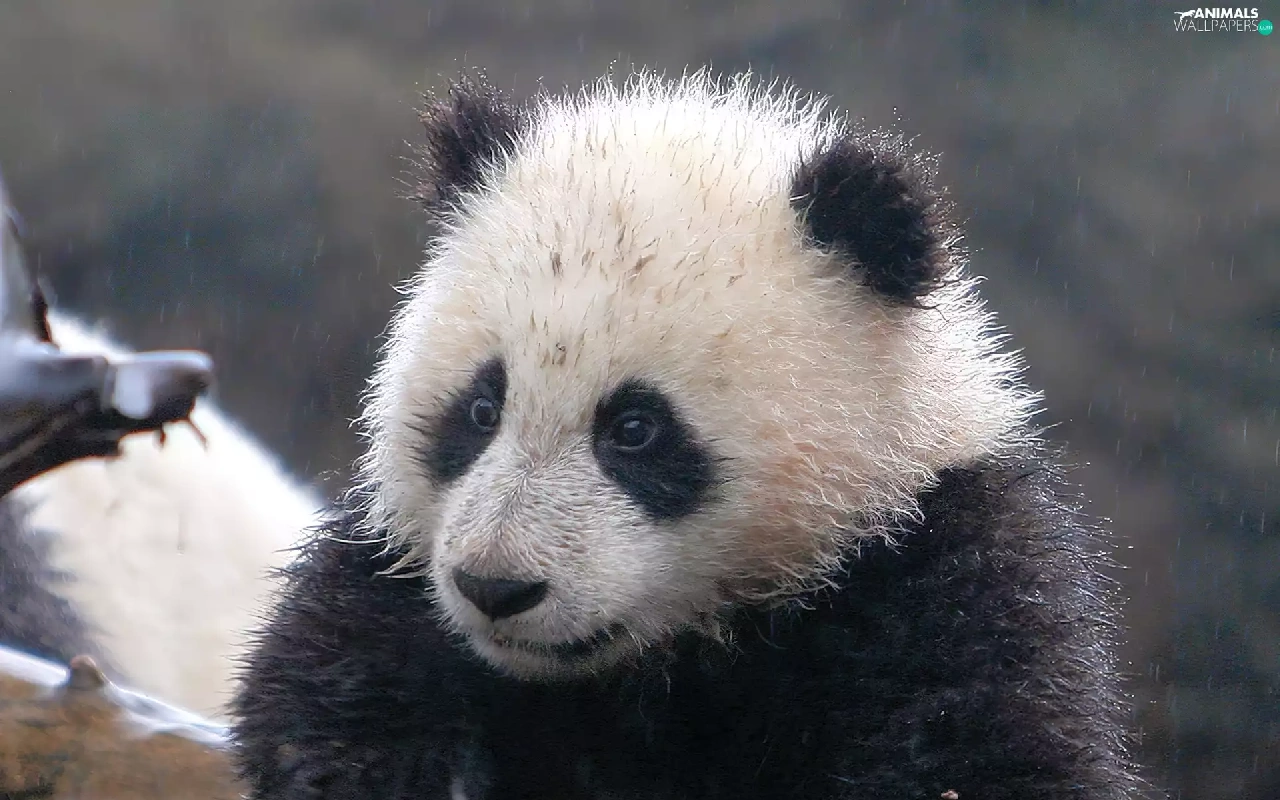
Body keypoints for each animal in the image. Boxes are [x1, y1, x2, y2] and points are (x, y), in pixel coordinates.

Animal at [231, 70, 1143, 799]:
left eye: (635, 429)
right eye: (481, 409)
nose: (497, 587)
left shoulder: (933, 563)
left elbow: (984, 745)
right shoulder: (400, 575)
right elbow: (332, 666)